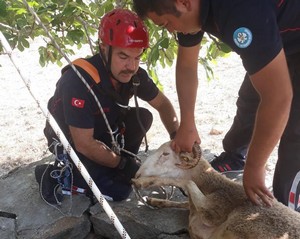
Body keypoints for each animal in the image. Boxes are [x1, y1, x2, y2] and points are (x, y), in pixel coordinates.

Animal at [132, 141, 300, 239]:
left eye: (165, 154)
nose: (137, 173)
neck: (216, 187)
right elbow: (184, 202)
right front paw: (155, 200)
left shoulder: (213, 213)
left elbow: (185, 182)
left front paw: (143, 182)